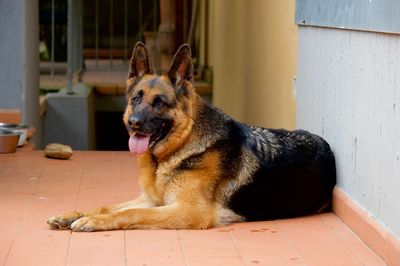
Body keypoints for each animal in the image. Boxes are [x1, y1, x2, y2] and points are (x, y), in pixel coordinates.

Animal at [46, 42, 334, 232]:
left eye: (160, 103)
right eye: (136, 99)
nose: (133, 123)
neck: (180, 148)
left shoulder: (186, 211)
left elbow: (132, 212)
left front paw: (94, 221)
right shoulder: (151, 199)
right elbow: (106, 205)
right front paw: (72, 214)